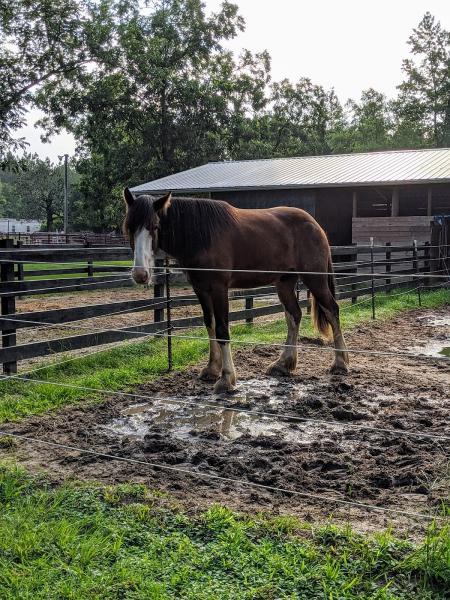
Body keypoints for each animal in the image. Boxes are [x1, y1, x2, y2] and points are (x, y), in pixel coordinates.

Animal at [123, 189, 348, 394]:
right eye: (129, 227)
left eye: (155, 226)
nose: (140, 274)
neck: (202, 235)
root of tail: (315, 225)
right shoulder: (201, 290)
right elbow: (210, 325)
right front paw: (211, 369)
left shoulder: (219, 289)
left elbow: (222, 330)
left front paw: (226, 378)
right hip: (284, 283)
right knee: (294, 315)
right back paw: (283, 364)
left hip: (315, 279)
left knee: (332, 310)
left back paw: (340, 362)